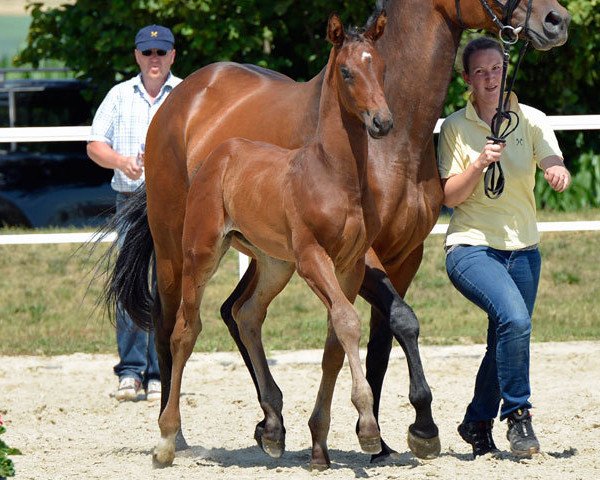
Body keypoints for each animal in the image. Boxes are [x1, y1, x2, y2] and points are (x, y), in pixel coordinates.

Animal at [152, 12, 392, 468]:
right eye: (347, 71)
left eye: (380, 66)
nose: (382, 122)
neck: (335, 174)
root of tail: (219, 152)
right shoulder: (312, 257)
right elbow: (347, 321)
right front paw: (369, 430)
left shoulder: (350, 265)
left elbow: (336, 338)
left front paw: (325, 444)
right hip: (198, 253)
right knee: (183, 330)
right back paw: (167, 440)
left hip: (273, 264)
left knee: (246, 314)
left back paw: (273, 430)